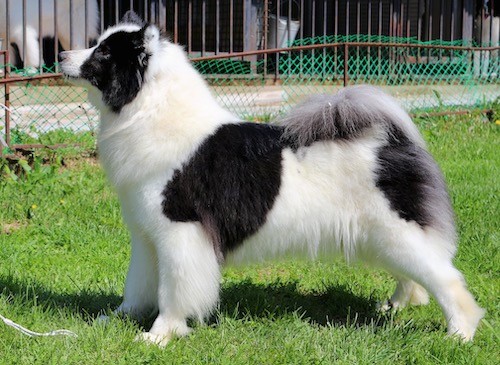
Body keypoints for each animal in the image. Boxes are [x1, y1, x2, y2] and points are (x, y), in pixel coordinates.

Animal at [59, 12, 484, 346]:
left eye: (103, 52)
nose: (62, 54)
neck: (149, 110)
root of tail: (390, 142)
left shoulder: (180, 233)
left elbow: (173, 290)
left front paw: (160, 334)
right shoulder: (148, 236)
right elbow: (139, 286)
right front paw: (117, 319)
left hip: (396, 231)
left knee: (446, 279)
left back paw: (459, 333)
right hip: (380, 237)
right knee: (417, 275)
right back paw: (396, 304)